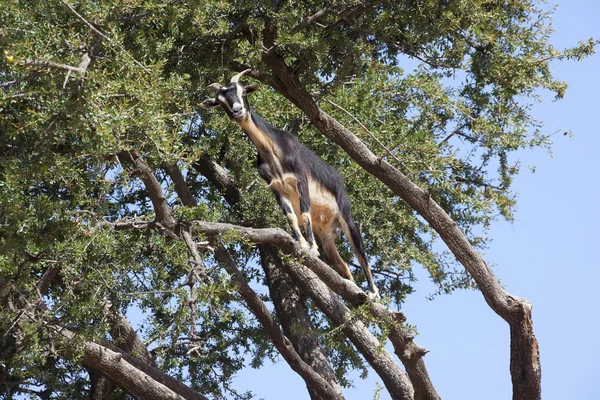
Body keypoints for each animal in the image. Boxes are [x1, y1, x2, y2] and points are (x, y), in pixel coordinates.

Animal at [202, 69, 380, 300]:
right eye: (220, 101)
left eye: (243, 91)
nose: (238, 110)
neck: (273, 151)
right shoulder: (277, 188)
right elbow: (291, 217)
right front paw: (302, 244)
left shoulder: (300, 180)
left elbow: (304, 214)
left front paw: (311, 248)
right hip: (327, 238)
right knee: (344, 267)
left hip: (345, 216)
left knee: (360, 252)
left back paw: (373, 293)